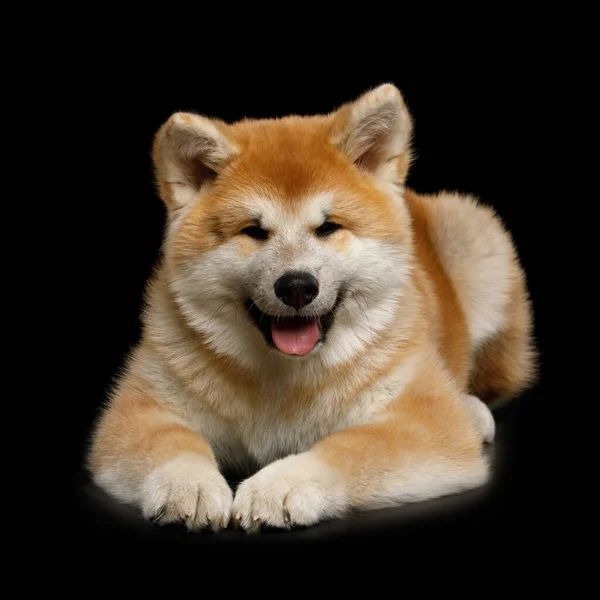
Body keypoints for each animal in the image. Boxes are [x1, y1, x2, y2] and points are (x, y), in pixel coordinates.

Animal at [85, 83, 540, 528]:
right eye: (253, 231)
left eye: (328, 227)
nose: (297, 286)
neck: (283, 378)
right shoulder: (141, 406)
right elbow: (171, 442)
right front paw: (189, 483)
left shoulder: (426, 421)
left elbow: (349, 446)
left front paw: (282, 485)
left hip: (476, 238)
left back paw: (472, 409)